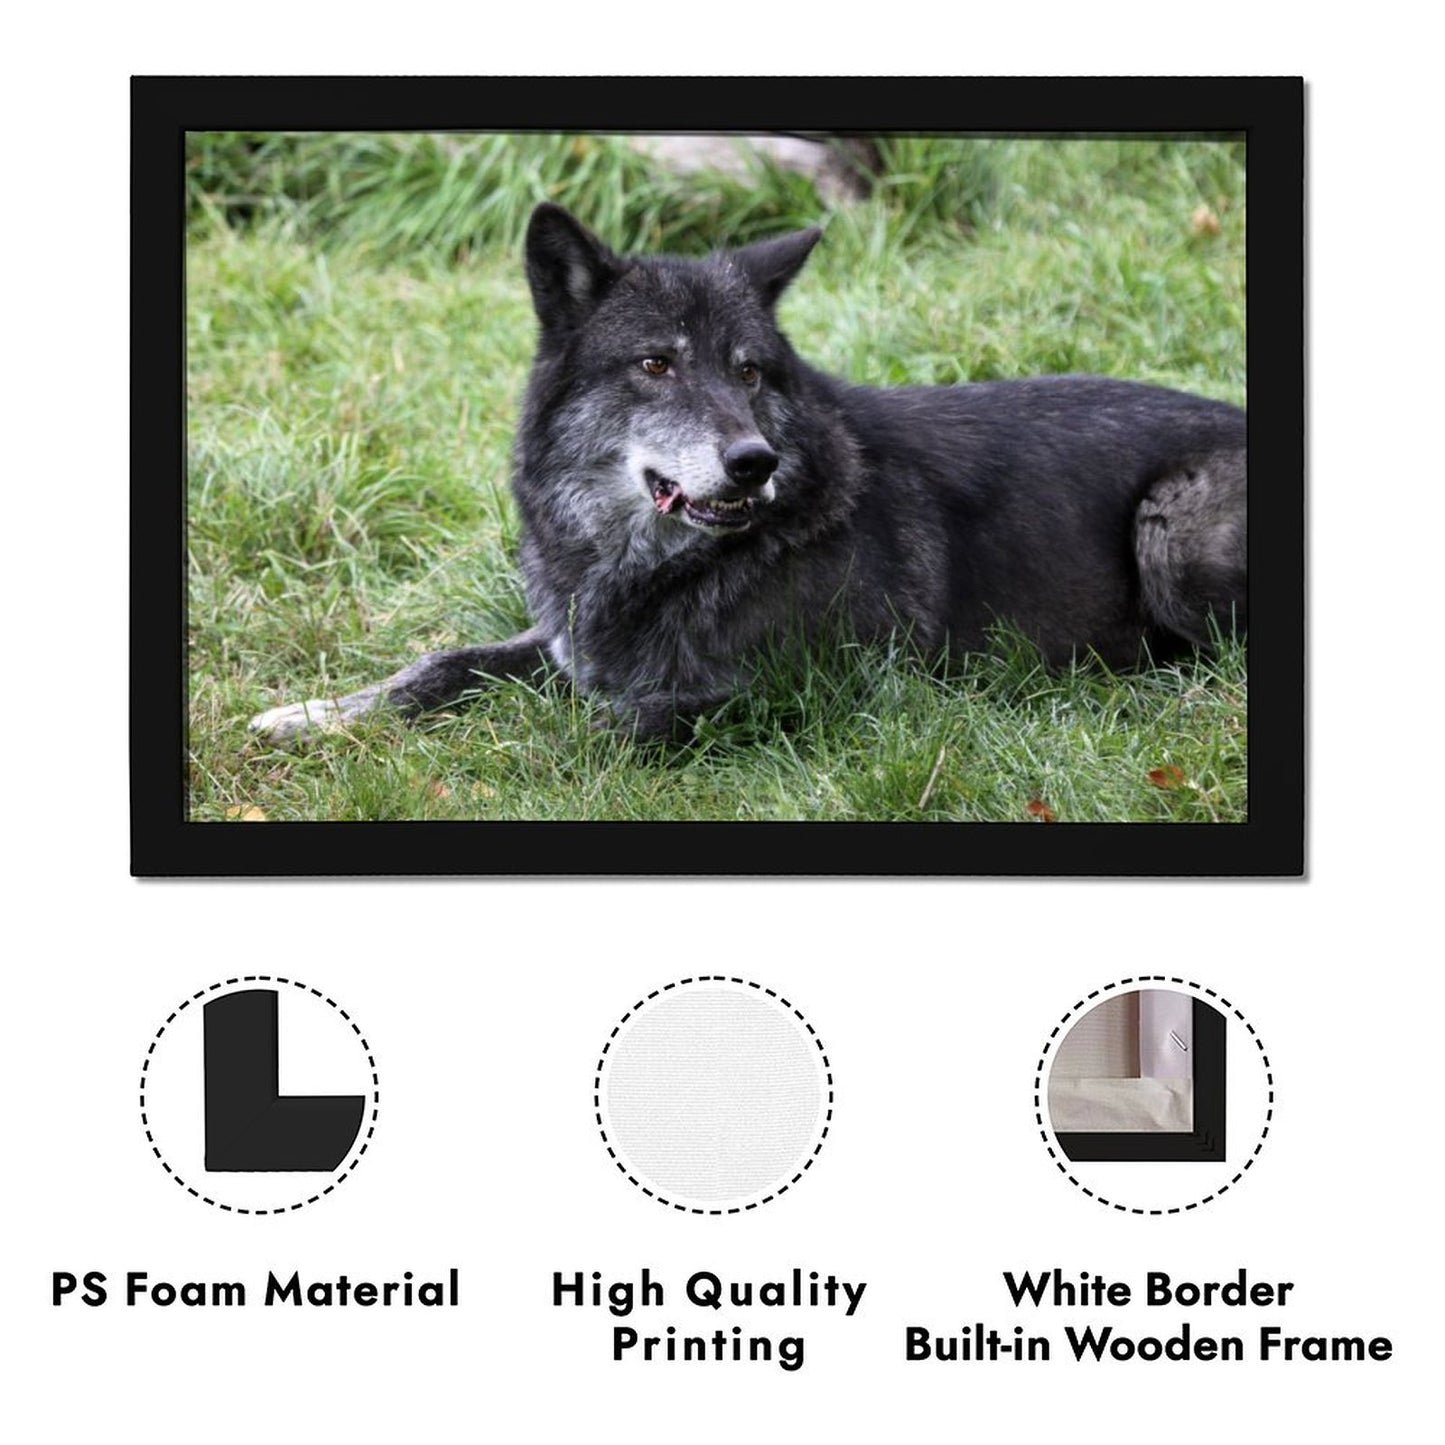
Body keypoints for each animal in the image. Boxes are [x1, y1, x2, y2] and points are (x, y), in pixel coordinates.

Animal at [250, 202, 1246, 744]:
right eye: (656, 364)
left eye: (749, 373)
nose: (752, 460)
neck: (654, 567)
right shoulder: (568, 642)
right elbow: (438, 663)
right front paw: (314, 714)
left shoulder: (820, 693)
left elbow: (601, 722)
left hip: (1170, 526)